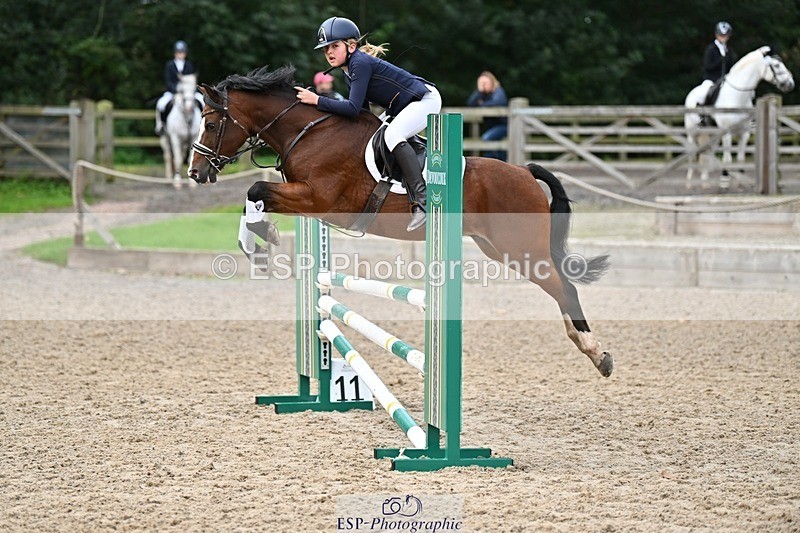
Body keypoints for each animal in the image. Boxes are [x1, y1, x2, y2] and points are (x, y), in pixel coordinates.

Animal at [188, 65, 615, 378]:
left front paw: (261, 240)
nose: (195, 173)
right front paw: (258, 242)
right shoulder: (307, 200)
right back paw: (587, 346)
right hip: (502, 250)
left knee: (565, 289)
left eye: (210, 124)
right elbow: (255, 196)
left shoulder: (318, 197)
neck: (308, 133)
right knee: (557, 287)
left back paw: (597, 352)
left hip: (521, 247)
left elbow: (256, 188)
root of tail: (524, 171)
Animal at [684, 46, 795, 189]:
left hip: (713, 135)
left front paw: (741, 182)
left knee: (708, 153)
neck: (737, 96)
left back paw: (705, 182)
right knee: (692, 155)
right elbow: (727, 159)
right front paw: (724, 182)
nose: (790, 84)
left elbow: (741, 158)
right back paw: (689, 183)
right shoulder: (727, 134)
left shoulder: (744, 133)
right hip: (692, 133)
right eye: (776, 65)